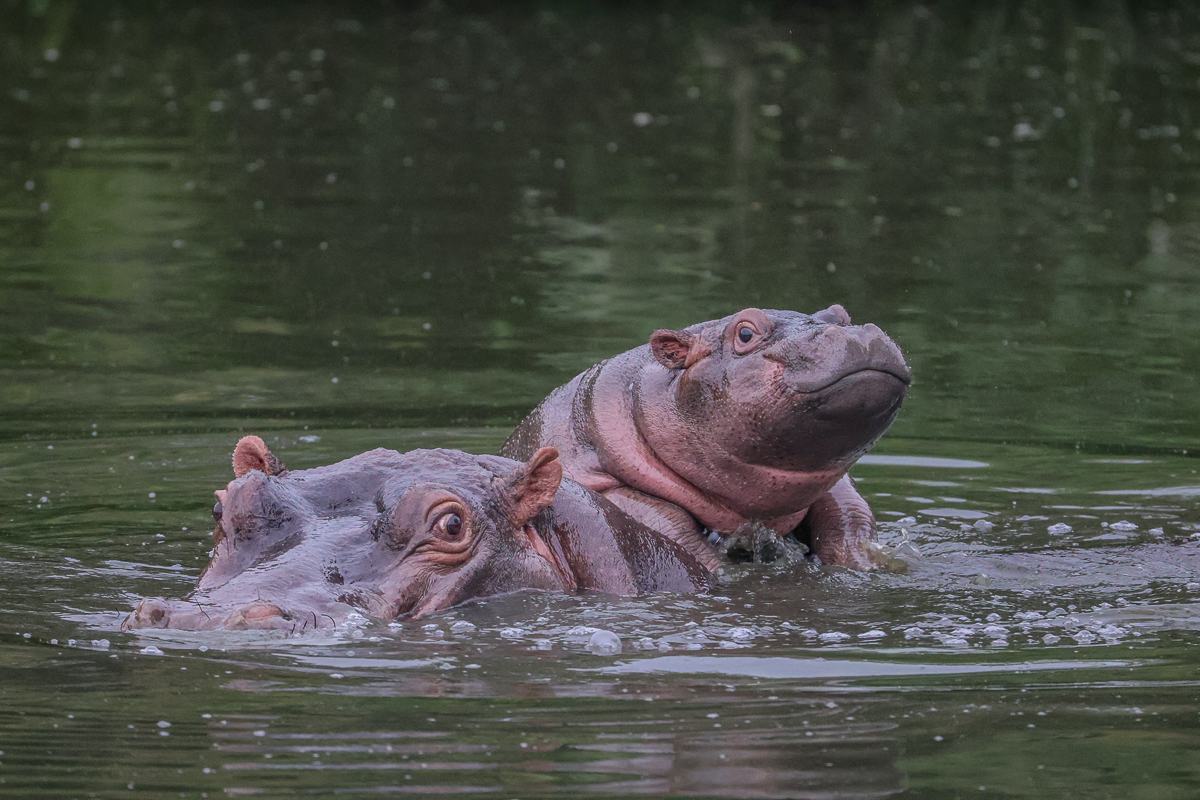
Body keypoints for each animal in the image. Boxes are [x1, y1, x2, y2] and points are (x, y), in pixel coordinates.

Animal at [501, 305, 909, 569]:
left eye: (841, 315)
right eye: (745, 332)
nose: (855, 333)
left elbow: (849, 512)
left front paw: (867, 563)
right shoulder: (602, 482)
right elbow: (668, 522)